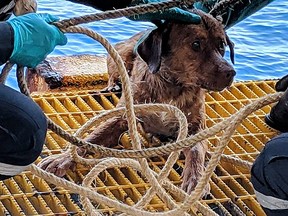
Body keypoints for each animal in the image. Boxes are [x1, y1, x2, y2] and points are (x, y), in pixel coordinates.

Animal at [38, 9, 236, 194]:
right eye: (196, 44)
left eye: (222, 45)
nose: (231, 72)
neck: (172, 85)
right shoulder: (121, 118)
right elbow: (89, 139)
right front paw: (62, 159)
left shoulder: (196, 129)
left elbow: (195, 152)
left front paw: (196, 179)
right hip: (122, 53)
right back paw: (114, 85)